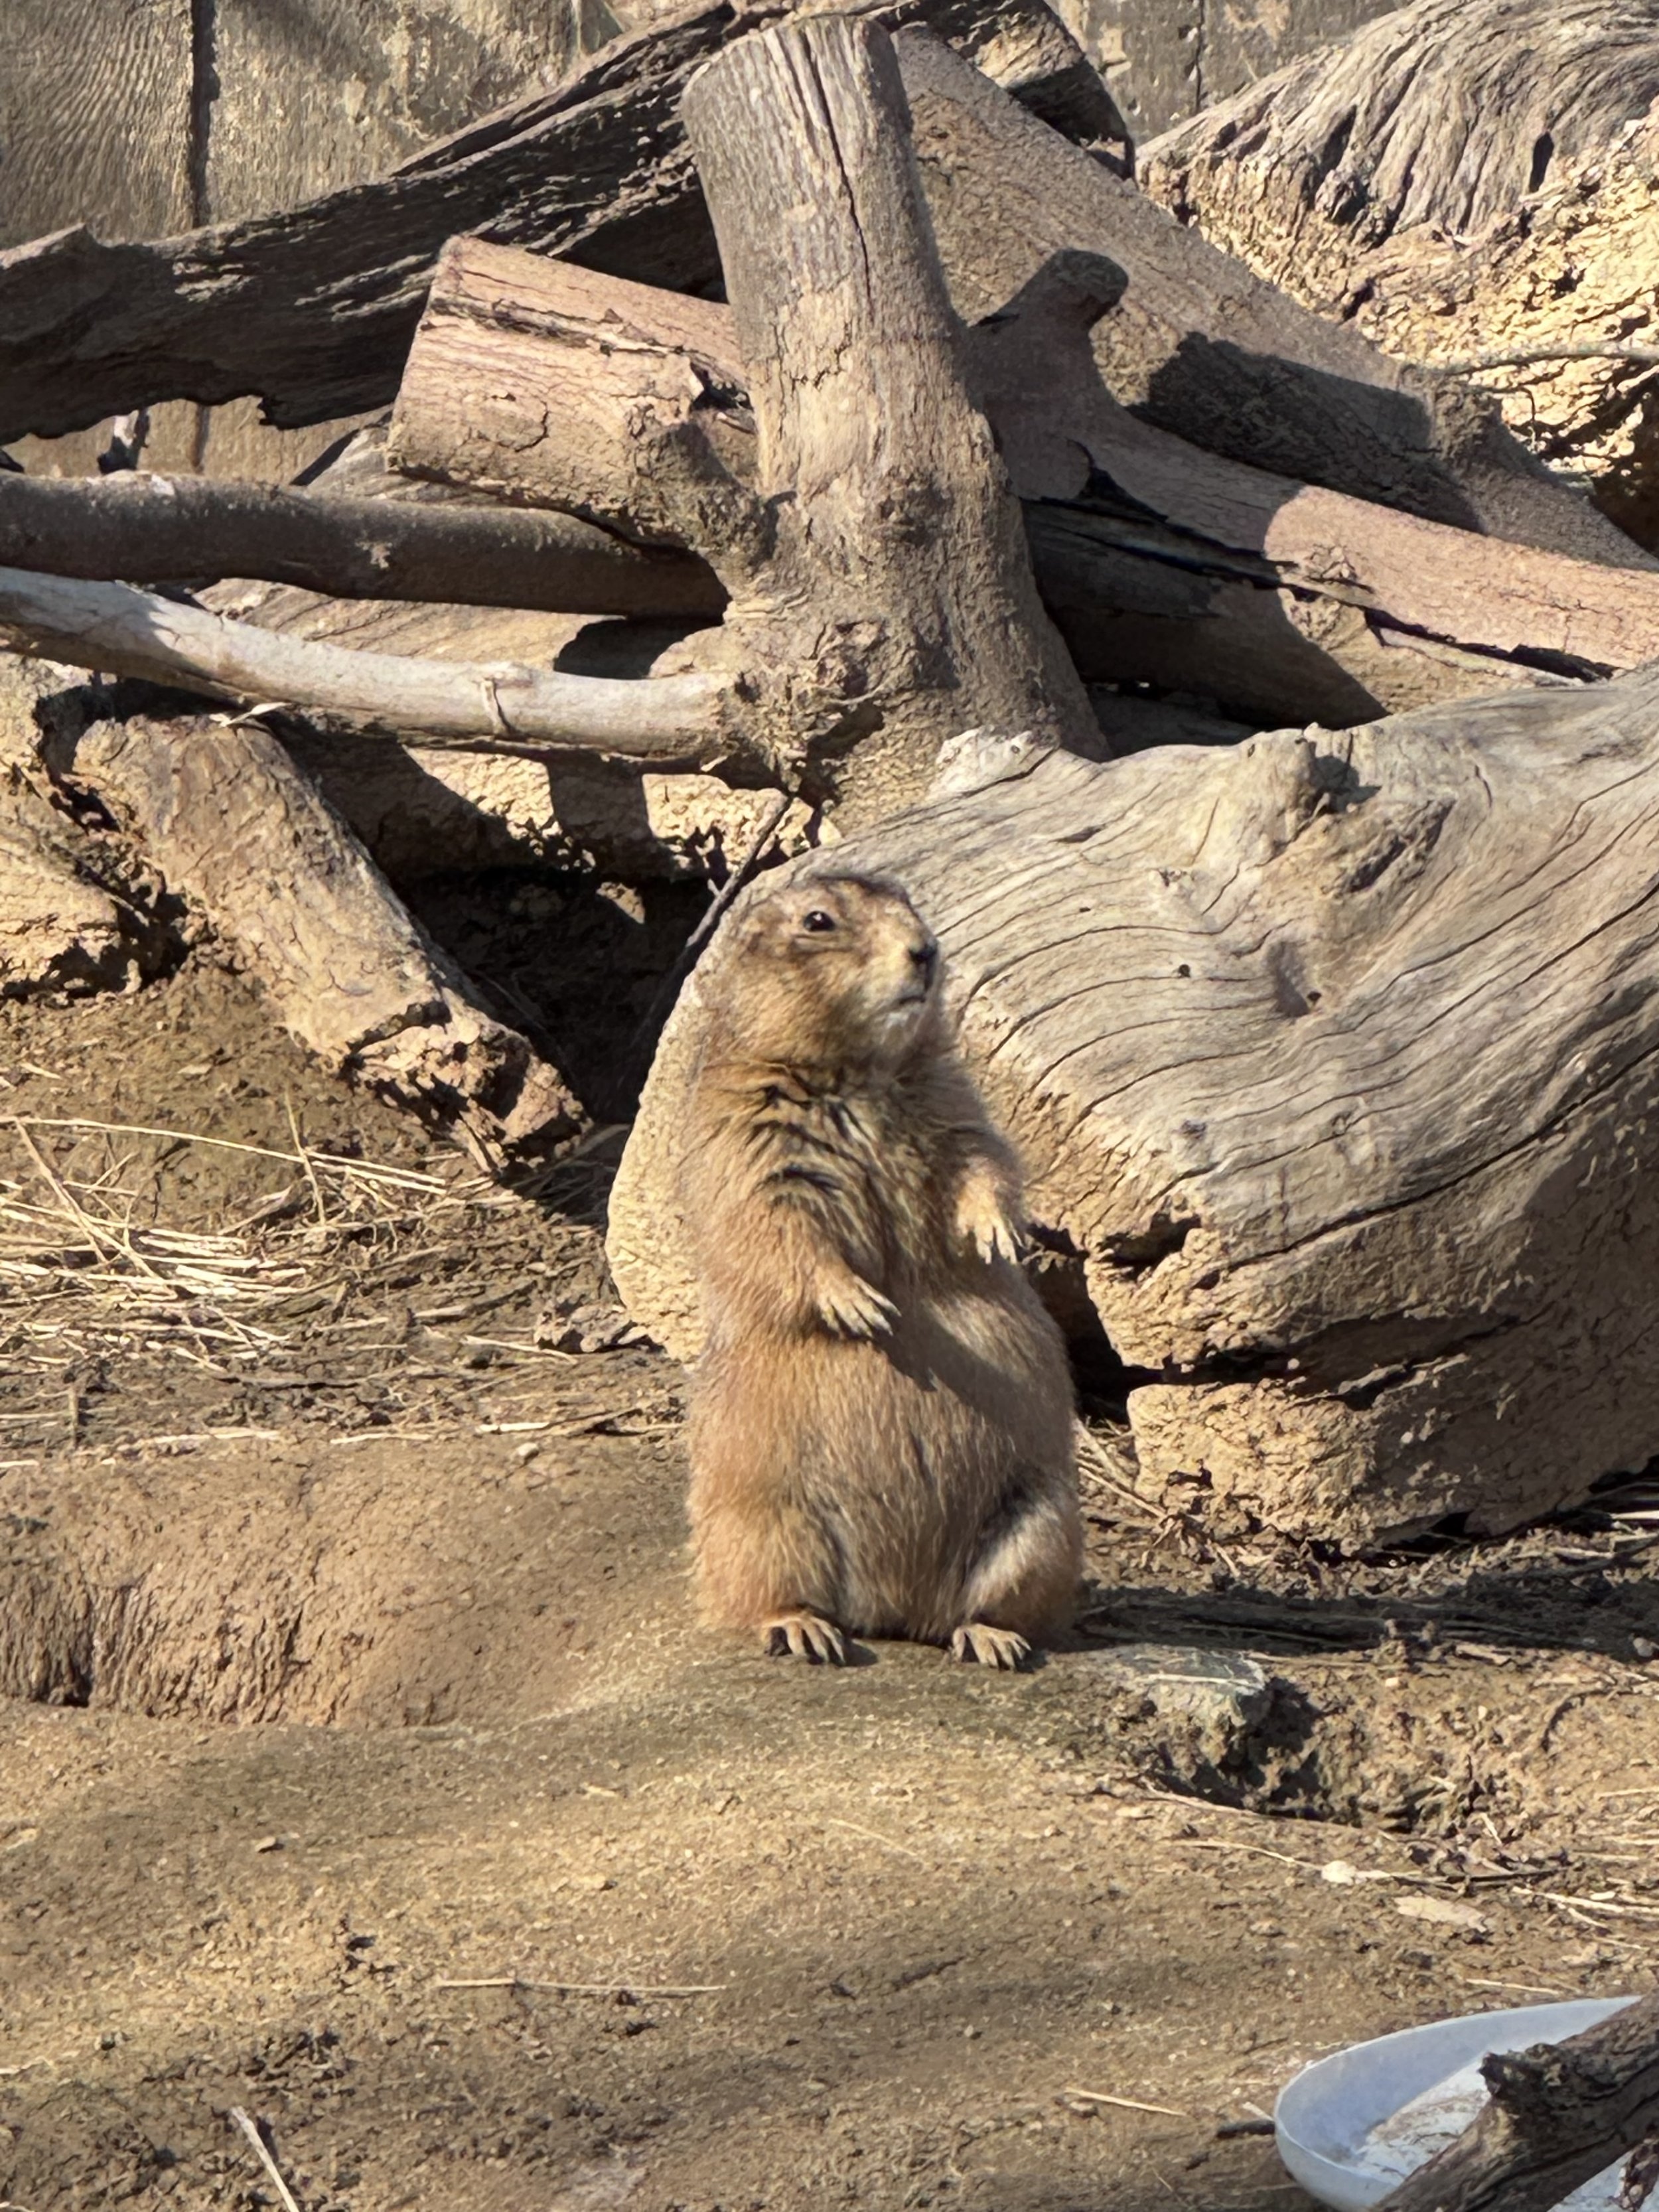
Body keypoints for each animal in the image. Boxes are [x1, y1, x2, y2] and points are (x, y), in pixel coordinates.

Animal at [678, 871, 1081, 1668]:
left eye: (912, 902)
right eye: (818, 920)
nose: (925, 951)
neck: (857, 1073)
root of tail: (894, 1608)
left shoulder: (954, 1100)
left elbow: (982, 1158)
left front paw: (997, 1236)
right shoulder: (749, 1138)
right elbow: (774, 1223)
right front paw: (861, 1304)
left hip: (1041, 1523)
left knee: (985, 1608)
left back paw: (992, 1639)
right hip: (759, 1521)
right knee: (765, 1595)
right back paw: (804, 1630)